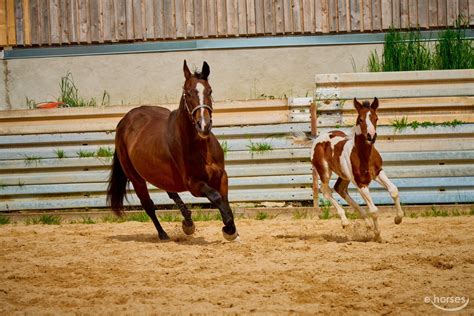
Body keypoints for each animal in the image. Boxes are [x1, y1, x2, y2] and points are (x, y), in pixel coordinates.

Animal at [106, 60, 237, 241]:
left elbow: (224, 200)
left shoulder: (221, 176)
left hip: (159, 174)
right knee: (148, 205)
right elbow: (216, 197)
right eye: (187, 93)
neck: (202, 150)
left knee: (170, 192)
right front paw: (228, 229)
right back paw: (163, 234)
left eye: (210, 91)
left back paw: (188, 222)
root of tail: (124, 121)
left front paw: (230, 228)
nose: (203, 126)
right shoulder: (194, 184)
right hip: (136, 178)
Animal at [312, 97, 404, 241]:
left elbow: (394, 190)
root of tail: (320, 138)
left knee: (340, 189)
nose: (371, 136)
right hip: (325, 172)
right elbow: (374, 210)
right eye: (360, 119)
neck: (364, 155)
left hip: (344, 175)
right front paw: (378, 235)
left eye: (376, 118)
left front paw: (398, 219)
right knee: (326, 191)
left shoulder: (378, 172)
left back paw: (367, 224)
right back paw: (345, 221)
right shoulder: (361, 183)